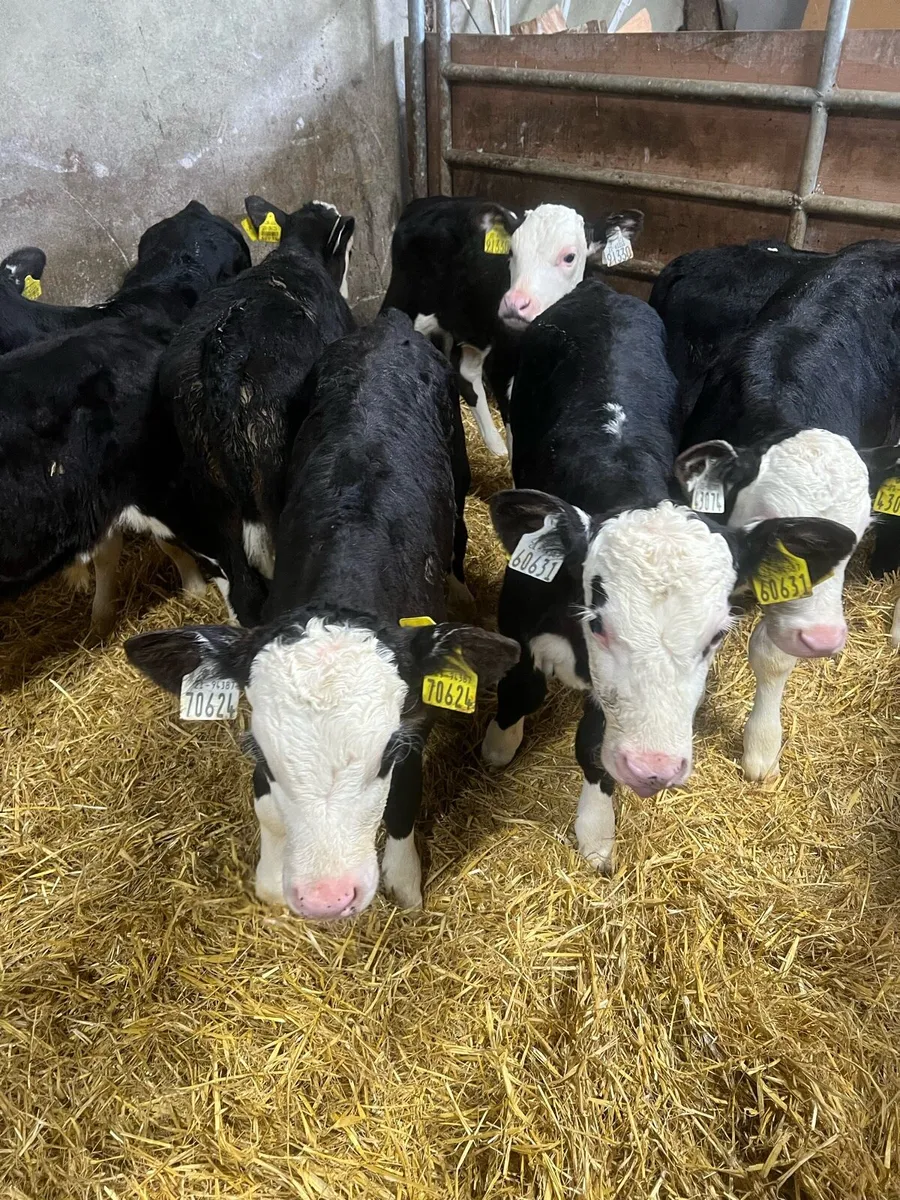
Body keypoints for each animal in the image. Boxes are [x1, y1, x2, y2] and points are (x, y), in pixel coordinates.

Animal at [125, 309, 520, 918]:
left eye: (387, 753)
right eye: (262, 754)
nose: (326, 898)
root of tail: (387, 324)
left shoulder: (417, 714)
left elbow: (405, 798)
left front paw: (404, 880)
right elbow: (266, 809)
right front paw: (270, 877)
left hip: (458, 465)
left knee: (458, 531)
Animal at [382, 196, 642, 457]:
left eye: (570, 257)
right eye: (511, 251)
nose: (515, 303)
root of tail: (427, 202)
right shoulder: (503, 369)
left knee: (467, 371)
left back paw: (495, 445)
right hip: (402, 301)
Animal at [481, 279, 854, 872]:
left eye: (717, 636)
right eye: (599, 624)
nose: (653, 769)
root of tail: (602, 289)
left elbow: (593, 743)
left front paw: (595, 830)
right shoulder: (517, 608)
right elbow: (520, 683)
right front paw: (500, 742)